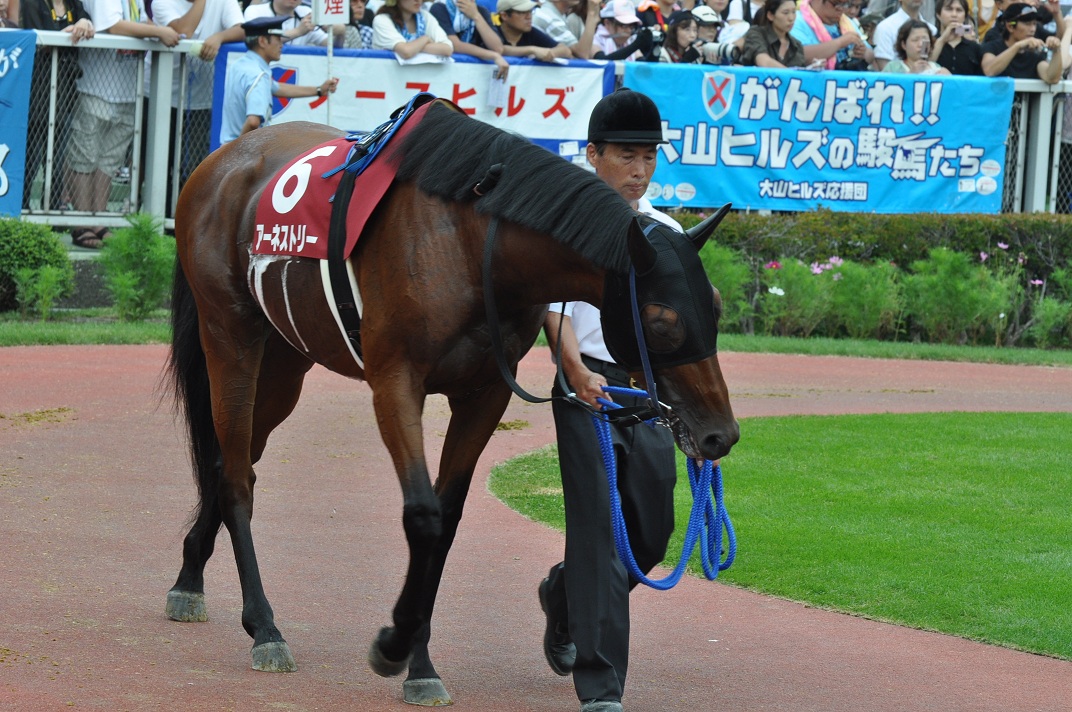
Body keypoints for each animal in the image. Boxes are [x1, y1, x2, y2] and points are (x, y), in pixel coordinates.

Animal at [164, 98, 739, 706]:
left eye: (716, 305)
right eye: (661, 319)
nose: (719, 434)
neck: (470, 240)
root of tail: (221, 160)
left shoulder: (484, 395)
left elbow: (448, 520)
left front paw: (420, 664)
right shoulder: (396, 381)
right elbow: (424, 515)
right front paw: (393, 645)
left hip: (285, 359)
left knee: (233, 461)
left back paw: (190, 577)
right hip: (232, 337)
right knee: (236, 477)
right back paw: (264, 627)